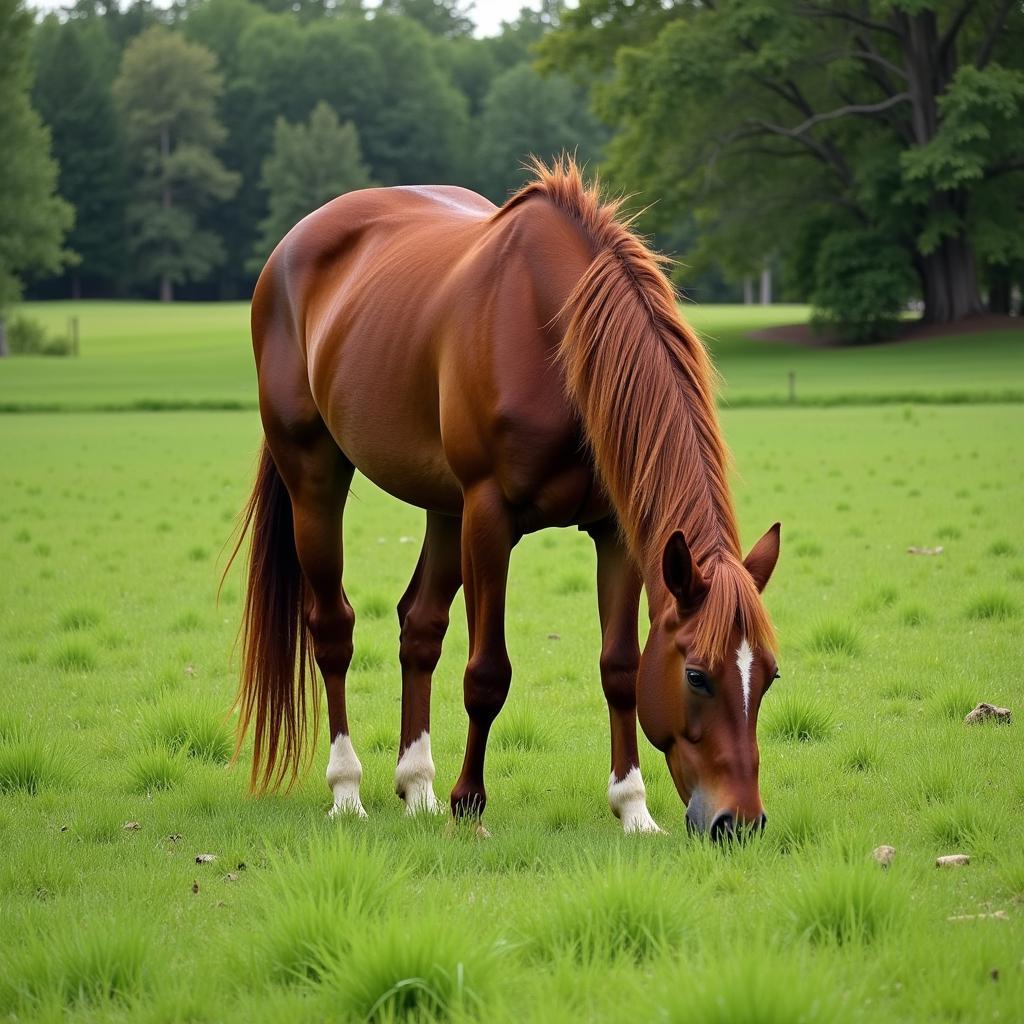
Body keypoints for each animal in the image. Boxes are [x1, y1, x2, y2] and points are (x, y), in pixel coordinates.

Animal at [228, 155, 778, 835]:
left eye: (770, 676)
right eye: (698, 676)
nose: (741, 822)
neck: (556, 329)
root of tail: (289, 248)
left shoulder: (615, 532)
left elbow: (620, 668)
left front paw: (632, 808)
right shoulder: (489, 518)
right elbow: (487, 672)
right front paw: (469, 803)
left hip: (443, 507)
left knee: (419, 626)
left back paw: (417, 786)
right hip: (316, 478)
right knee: (333, 628)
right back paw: (348, 790)